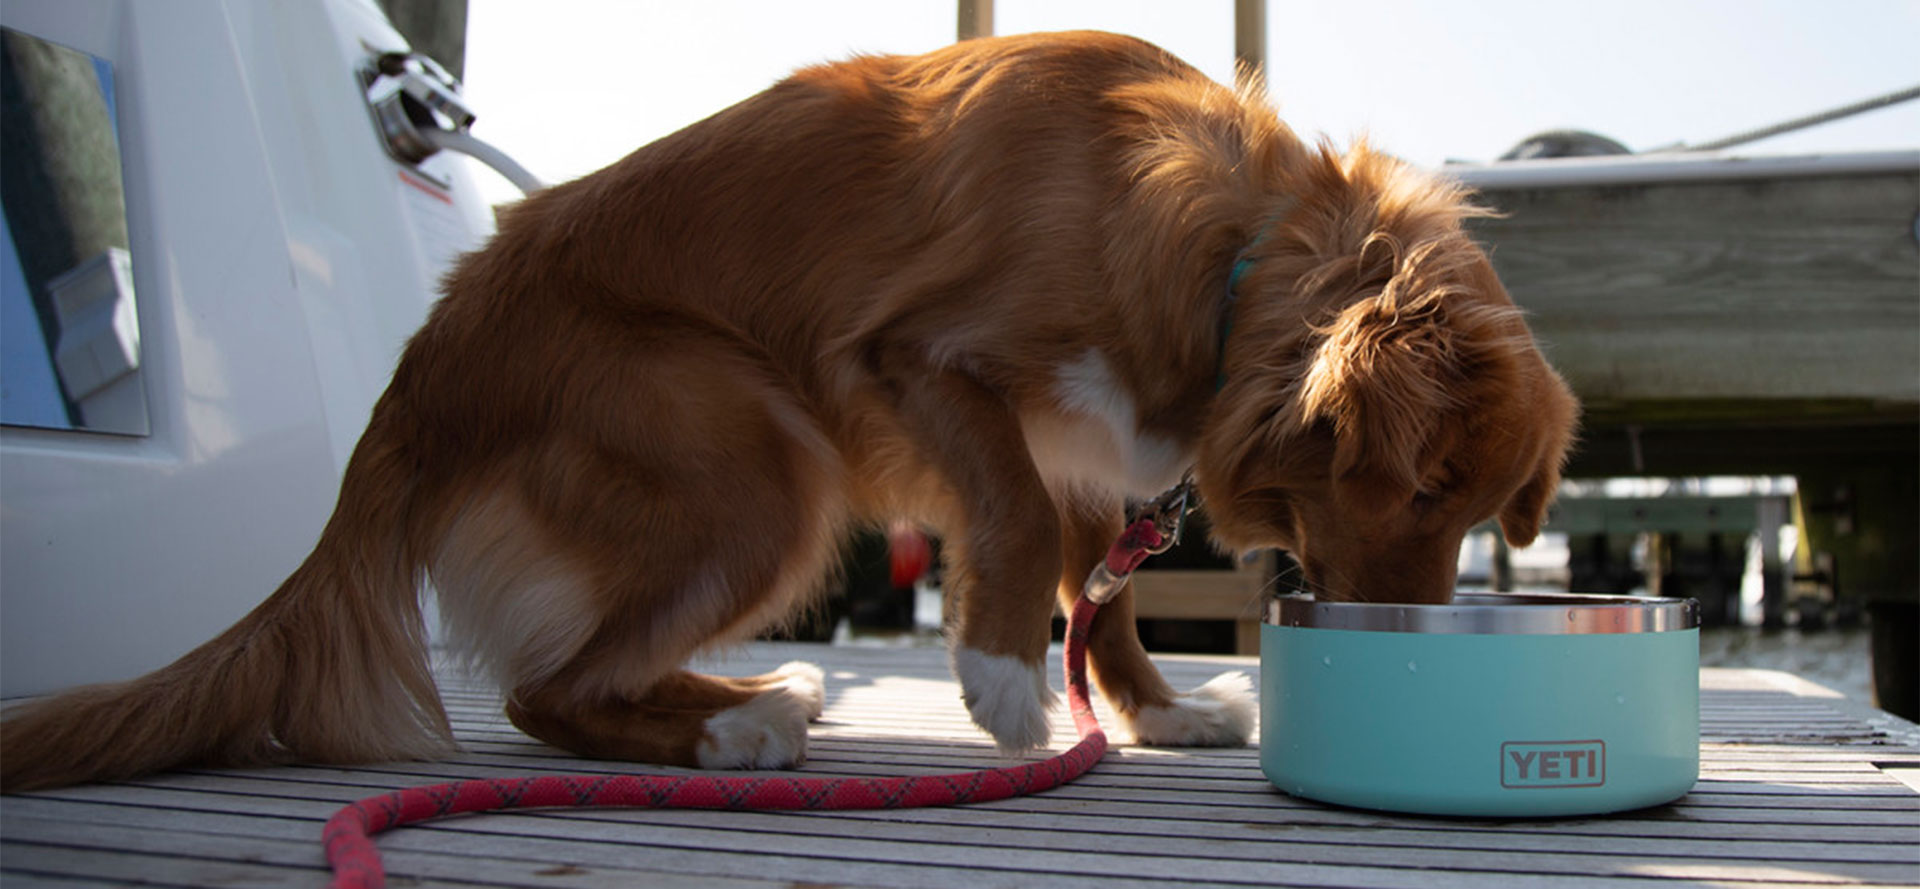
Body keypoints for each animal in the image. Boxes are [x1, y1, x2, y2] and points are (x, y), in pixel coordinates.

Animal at [0, 29, 1574, 794]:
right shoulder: (916, 358)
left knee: (578, 673)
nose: (1417, 625)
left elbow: (1106, 592)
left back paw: (760, 699)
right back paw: (732, 736)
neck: (1234, 251)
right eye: (1420, 486)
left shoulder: (1085, 450)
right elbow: (1014, 525)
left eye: (1472, 508)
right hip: (759, 455)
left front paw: (1156, 710)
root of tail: (420, 372)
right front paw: (1004, 683)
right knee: (542, 691)